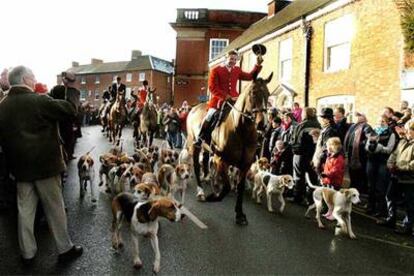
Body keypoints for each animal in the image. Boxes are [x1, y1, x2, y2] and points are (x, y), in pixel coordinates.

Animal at [187, 72, 272, 225]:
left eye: (268, 94)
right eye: (253, 92)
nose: (263, 124)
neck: (241, 131)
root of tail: (195, 107)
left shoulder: (245, 165)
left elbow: (240, 187)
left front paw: (239, 214)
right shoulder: (221, 160)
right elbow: (226, 187)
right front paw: (213, 197)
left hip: (207, 149)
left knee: (205, 163)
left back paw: (207, 178)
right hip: (194, 145)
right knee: (196, 166)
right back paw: (201, 191)